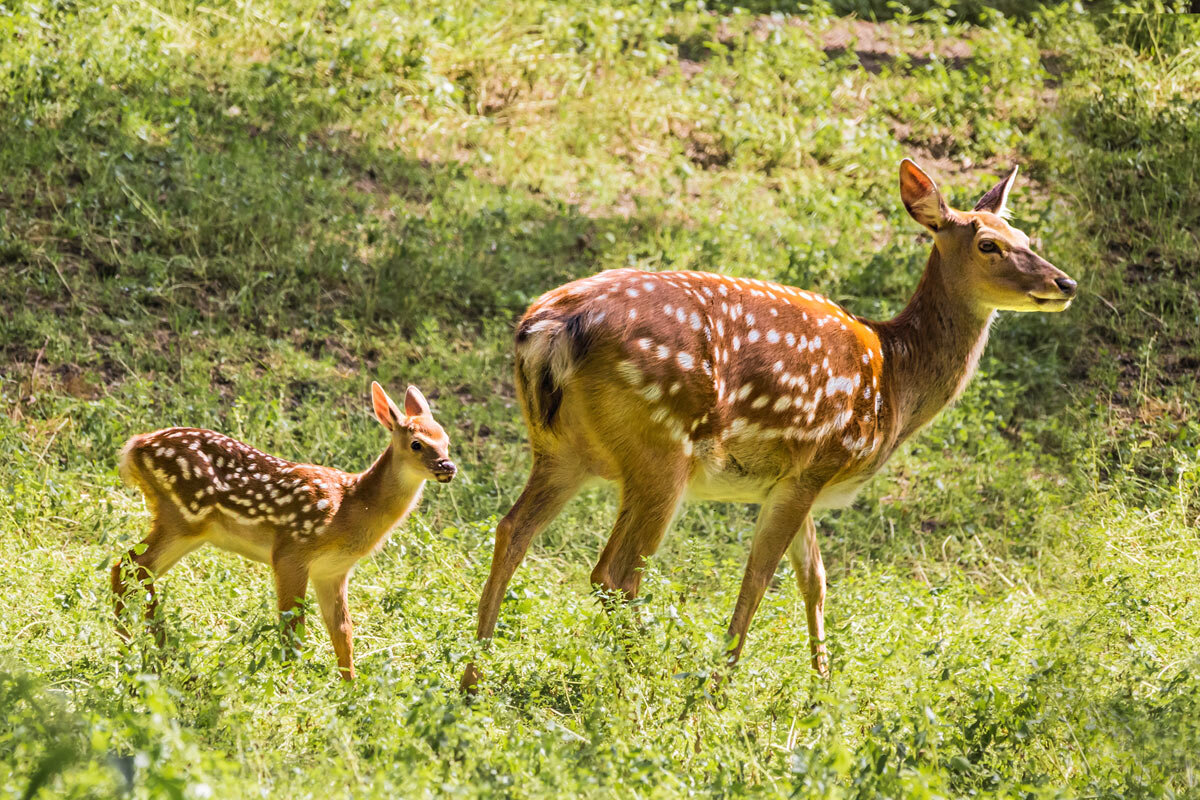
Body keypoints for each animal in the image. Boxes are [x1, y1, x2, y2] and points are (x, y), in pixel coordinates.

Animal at [114, 379, 456, 681]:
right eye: (416, 444)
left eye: (447, 441)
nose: (448, 467)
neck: (351, 507)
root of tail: (135, 446)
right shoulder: (291, 552)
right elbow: (293, 630)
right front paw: (287, 685)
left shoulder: (332, 571)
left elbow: (343, 632)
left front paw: (351, 691)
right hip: (183, 515)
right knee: (130, 565)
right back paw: (147, 651)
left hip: (186, 527)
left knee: (132, 568)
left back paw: (139, 650)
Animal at [460, 160, 1080, 690]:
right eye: (988, 244)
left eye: (1026, 237)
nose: (1065, 284)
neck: (895, 381)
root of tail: (550, 331)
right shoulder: (818, 462)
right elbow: (761, 576)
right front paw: (720, 685)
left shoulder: (792, 480)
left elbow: (815, 579)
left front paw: (822, 684)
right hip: (661, 450)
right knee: (615, 572)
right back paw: (646, 675)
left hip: (562, 450)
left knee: (512, 531)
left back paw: (473, 676)